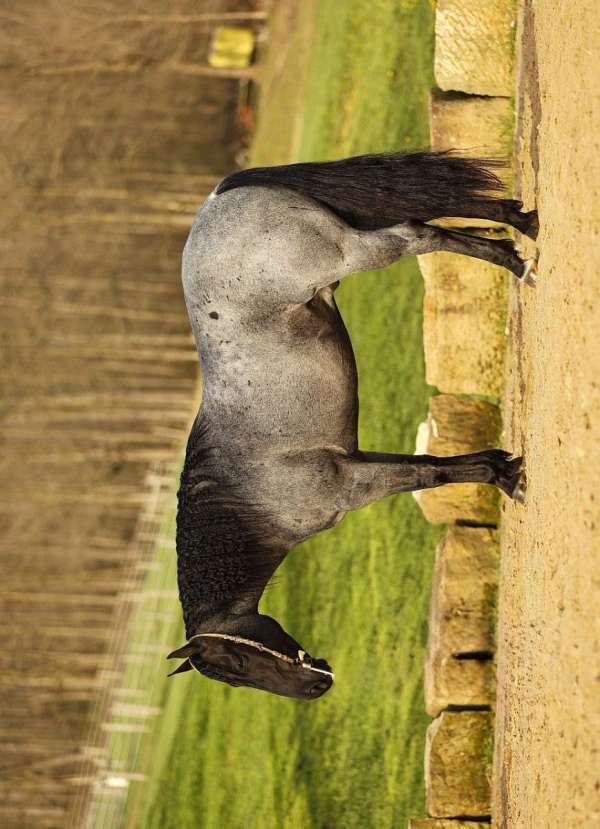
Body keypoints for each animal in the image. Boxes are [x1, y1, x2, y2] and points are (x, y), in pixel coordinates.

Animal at [167, 151, 537, 700]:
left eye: (235, 663)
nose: (317, 686)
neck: (243, 489)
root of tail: (222, 195)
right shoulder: (361, 462)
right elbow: (430, 464)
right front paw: (498, 462)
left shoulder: (354, 485)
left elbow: (429, 474)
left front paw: (508, 478)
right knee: (433, 213)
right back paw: (522, 228)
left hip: (355, 250)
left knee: (418, 233)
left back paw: (519, 259)